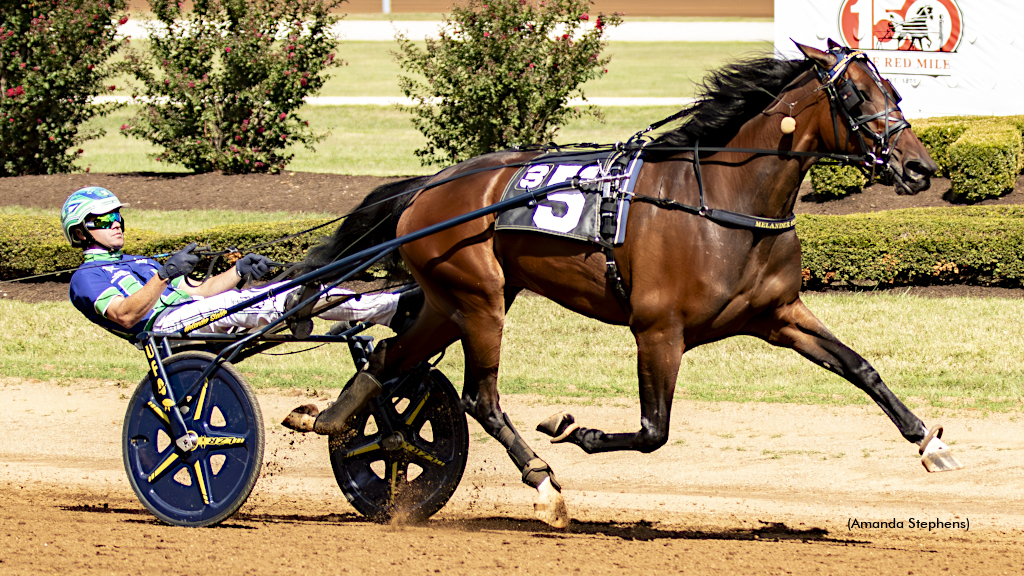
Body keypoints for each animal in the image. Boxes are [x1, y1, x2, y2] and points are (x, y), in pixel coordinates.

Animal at [288, 41, 959, 528]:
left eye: (895, 90)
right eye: (855, 93)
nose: (919, 167)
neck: (722, 203)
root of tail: (427, 186)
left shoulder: (779, 315)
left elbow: (861, 368)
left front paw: (929, 443)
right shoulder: (657, 330)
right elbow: (653, 431)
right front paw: (573, 431)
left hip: (451, 300)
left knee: (388, 358)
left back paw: (336, 424)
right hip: (478, 301)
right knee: (480, 398)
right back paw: (543, 484)